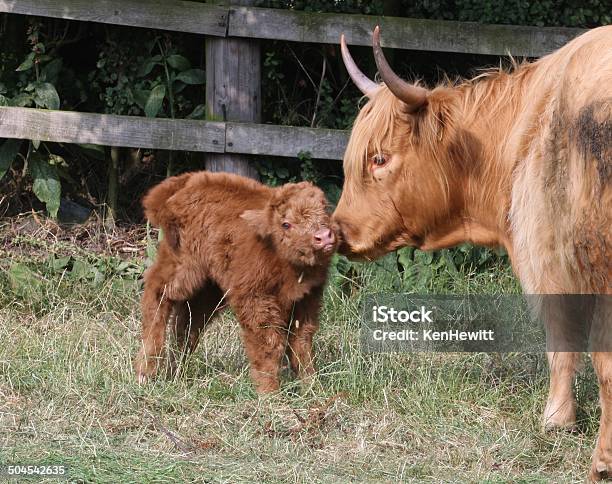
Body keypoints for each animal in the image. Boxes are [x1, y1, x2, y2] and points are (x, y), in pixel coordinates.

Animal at [133, 171, 340, 394]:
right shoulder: (255, 300)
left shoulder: (306, 300)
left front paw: (312, 387)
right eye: (286, 224)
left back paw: (175, 370)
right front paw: (270, 393)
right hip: (182, 267)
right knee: (158, 293)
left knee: (188, 323)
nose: (324, 237)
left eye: (325, 210)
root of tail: (187, 181)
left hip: (208, 289)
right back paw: (146, 371)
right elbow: (268, 344)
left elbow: (301, 343)